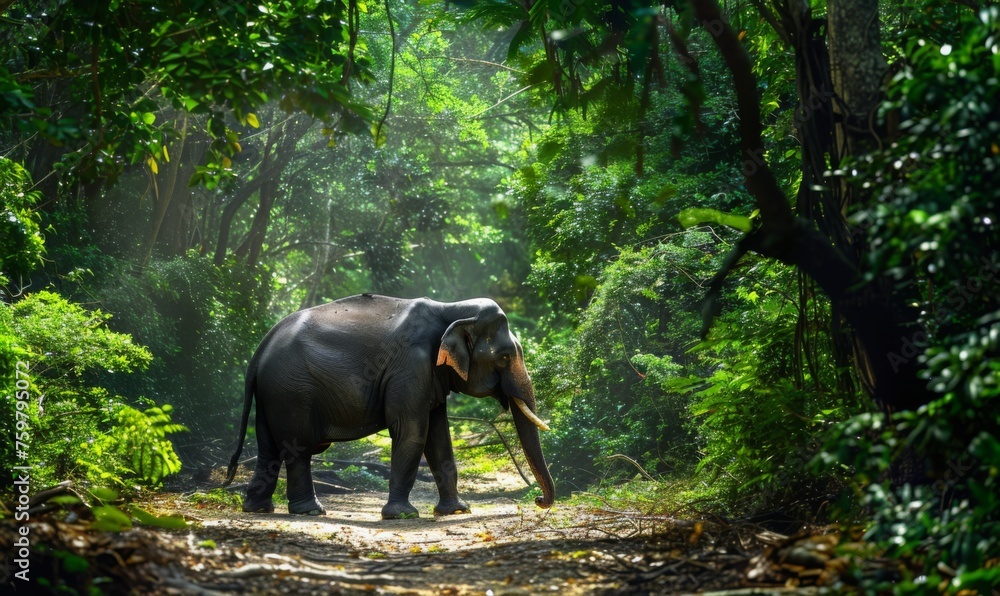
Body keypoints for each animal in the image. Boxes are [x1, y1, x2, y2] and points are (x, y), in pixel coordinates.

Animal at [224, 293, 555, 519]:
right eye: (504, 357)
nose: (538, 502)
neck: (449, 308)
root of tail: (261, 347)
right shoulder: (410, 366)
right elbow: (412, 431)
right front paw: (403, 515)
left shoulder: (429, 374)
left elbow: (439, 436)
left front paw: (457, 511)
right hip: (291, 391)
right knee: (297, 448)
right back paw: (310, 511)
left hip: (272, 393)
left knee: (268, 446)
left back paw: (258, 508)